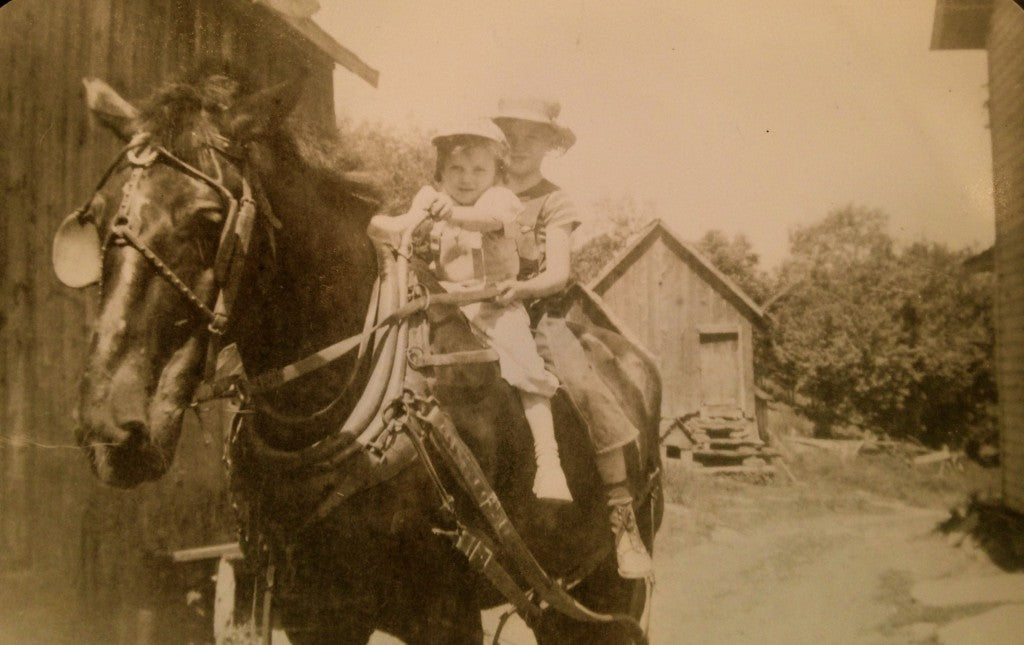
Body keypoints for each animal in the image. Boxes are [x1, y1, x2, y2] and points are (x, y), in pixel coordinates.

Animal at [58, 67, 663, 645]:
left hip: (611, 594)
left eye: (209, 219)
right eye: (100, 215)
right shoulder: (315, 612)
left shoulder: (444, 617)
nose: (112, 424)